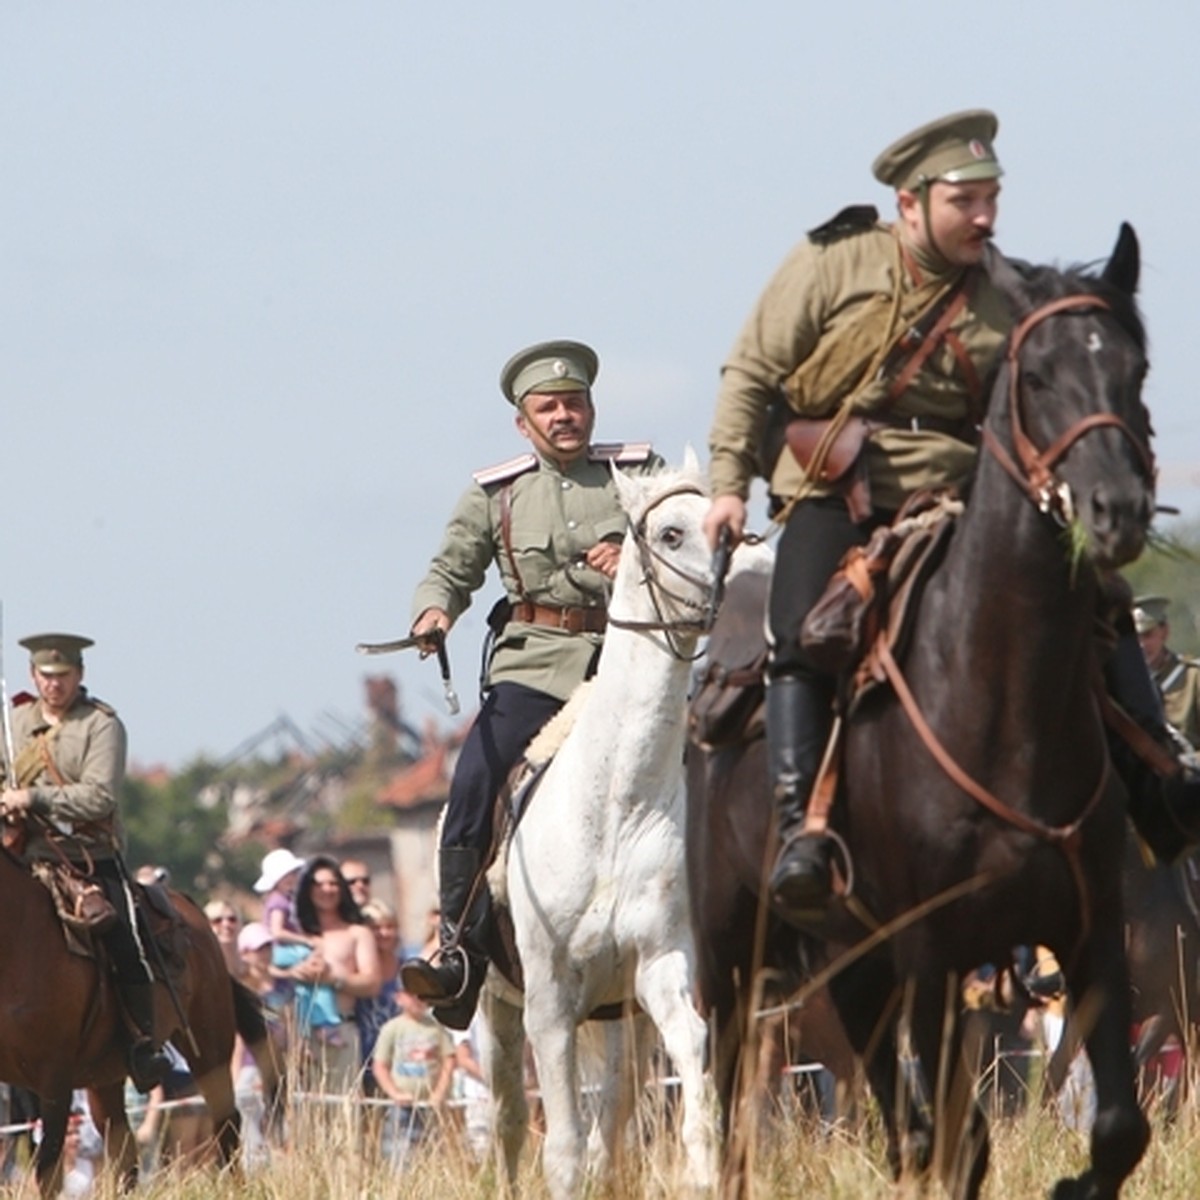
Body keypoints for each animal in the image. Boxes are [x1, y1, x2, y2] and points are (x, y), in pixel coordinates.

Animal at [0, 849, 280, 1195]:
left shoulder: (54, 1078)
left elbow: (48, 1169)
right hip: (103, 1079)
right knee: (125, 1154)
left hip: (209, 1048)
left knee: (226, 1122)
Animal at [482, 451, 715, 1200]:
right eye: (671, 532)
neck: (617, 802)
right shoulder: (548, 1002)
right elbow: (558, 1145)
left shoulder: (661, 966)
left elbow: (691, 1051)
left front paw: (704, 1169)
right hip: (495, 1008)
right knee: (507, 1118)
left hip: (617, 1019)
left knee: (610, 1120)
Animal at [696, 226, 1161, 1200]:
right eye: (1036, 376)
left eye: (1134, 368)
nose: (1117, 511)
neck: (1004, 707)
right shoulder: (934, 957)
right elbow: (963, 1142)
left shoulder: (1093, 937)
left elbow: (1114, 1127)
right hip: (734, 960)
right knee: (729, 1103)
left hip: (852, 961)